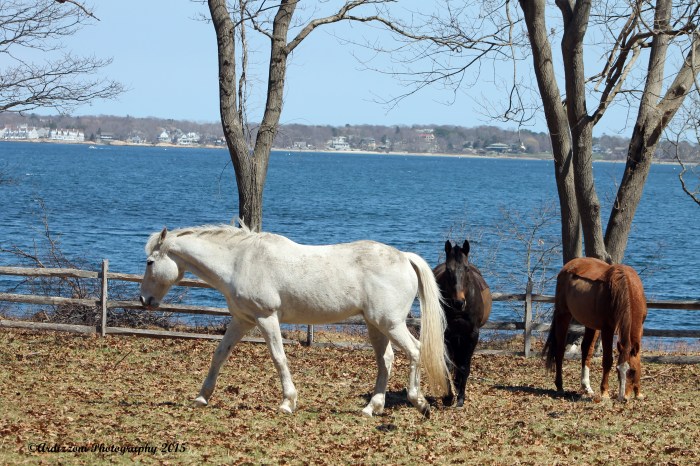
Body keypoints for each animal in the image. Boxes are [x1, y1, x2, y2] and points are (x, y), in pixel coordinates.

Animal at [139, 223, 451, 417]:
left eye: (150, 262)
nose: (144, 300)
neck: (240, 260)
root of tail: (404, 257)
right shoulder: (242, 320)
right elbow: (219, 355)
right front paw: (202, 397)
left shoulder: (266, 318)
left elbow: (279, 358)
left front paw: (288, 402)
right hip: (376, 326)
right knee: (386, 360)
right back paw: (371, 408)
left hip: (391, 324)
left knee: (415, 351)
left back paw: (419, 402)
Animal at [433, 240, 492, 407]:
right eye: (448, 269)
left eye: (466, 268)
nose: (458, 303)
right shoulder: (446, 333)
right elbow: (447, 365)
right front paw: (448, 397)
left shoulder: (471, 335)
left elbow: (464, 366)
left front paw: (460, 398)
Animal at [543, 257, 648, 401]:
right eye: (617, 370)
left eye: (632, 371)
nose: (623, 398)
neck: (626, 288)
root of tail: (569, 266)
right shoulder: (607, 329)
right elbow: (607, 360)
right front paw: (605, 393)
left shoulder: (640, 328)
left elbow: (638, 358)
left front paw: (638, 393)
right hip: (563, 315)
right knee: (559, 351)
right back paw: (560, 387)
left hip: (591, 324)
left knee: (586, 349)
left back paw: (586, 387)